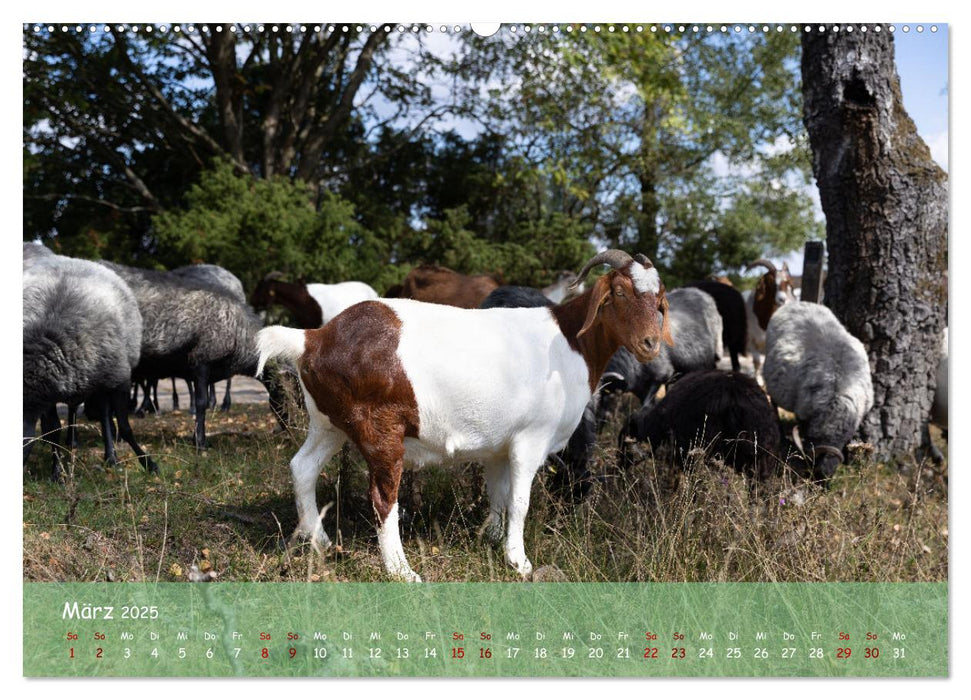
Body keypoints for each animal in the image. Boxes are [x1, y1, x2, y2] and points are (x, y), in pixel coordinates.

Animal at [23, 243, 158, 478]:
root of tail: (76, 259)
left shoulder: (120, 380)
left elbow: (124, 427)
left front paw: (148, 463)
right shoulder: (46, 393)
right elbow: (52, 430)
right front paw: (57, 473)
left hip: (105, 376)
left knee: (104, 416)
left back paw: (111, 457)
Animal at [254, 250, 672, 580]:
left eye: (659, 299)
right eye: (619, 292)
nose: (650, 343)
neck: (569, 341)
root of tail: (312, 338)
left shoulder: (500, 446)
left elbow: (499, 495)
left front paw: (492, 539)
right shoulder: (530, 440)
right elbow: (520, 502)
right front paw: (519, 561)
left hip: (329, 422)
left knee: (302, 467)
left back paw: (320, 541)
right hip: (378, 428)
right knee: (383, 497)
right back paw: (402, 571)